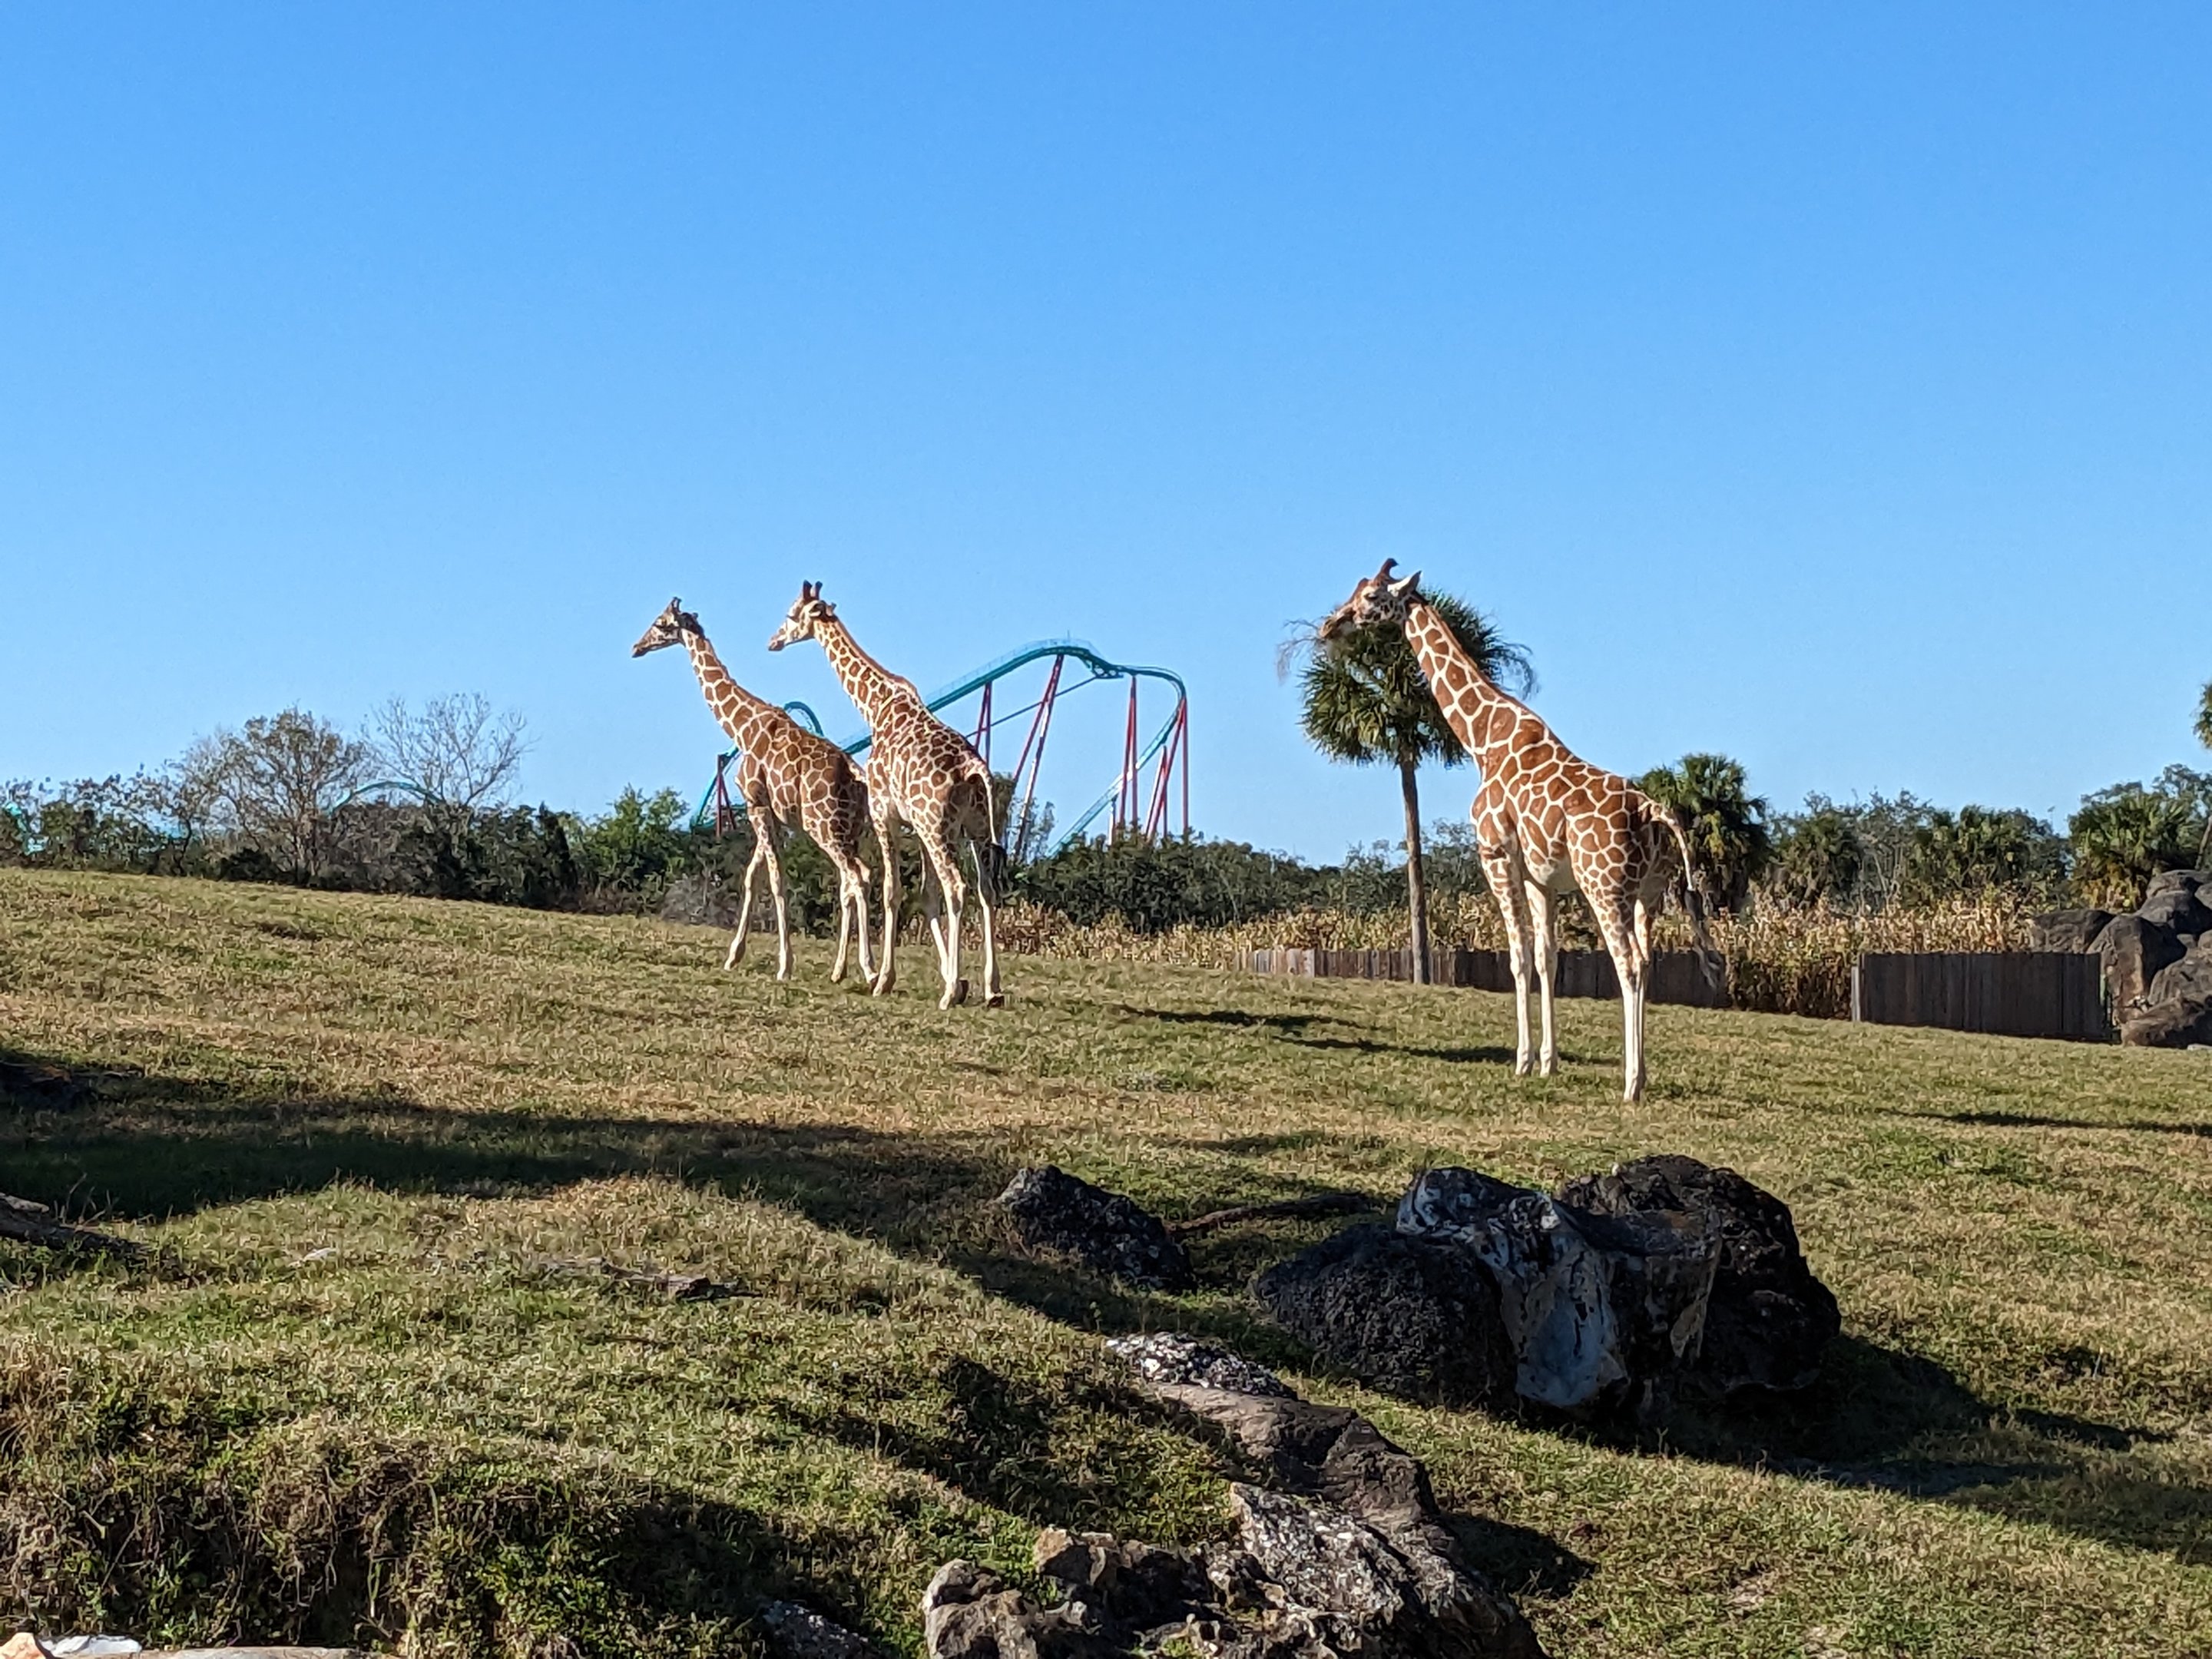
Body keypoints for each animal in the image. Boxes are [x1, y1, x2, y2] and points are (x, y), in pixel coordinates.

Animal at [632, 598, 877, 985]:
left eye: (660, 623)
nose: (636, 647)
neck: (741, 728)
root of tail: (856, 774)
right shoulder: (765, 811)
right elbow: (751, 877)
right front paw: (734, 956)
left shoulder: (756, 805)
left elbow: (776, 880)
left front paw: (784, 965)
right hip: (850, 829)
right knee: (854, 879)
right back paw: (841, 970)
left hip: (823, 826)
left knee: (856, 876)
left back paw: (868, 969)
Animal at [767, 581, 1006, 1010]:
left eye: (793, 614)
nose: (773, 641)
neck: (875, 708)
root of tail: (973, 768)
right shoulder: (916, 826)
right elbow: (926, 896)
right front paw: (956, 979)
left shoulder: (884, 813)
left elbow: (892, 891)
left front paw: (885, 979)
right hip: (972, 830)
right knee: (986, 890)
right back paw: (993, 989)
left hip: (940, 828)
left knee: (957, 887)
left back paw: (948, 994)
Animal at [1318, 560, 1716, 1102]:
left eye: (1371, 598)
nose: (1329, 625)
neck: (1483, 739)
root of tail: (1654, 810)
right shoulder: (1539, 877)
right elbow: (1548, 958)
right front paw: (1549, 1062)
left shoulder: (1496, 856)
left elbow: (1518, 958)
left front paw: (1523, 1061)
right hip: (1648, 894)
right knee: (1648, 960)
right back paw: (1643, 1074)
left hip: (1604, 886)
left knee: (1628, 963)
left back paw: (1631, 1084)